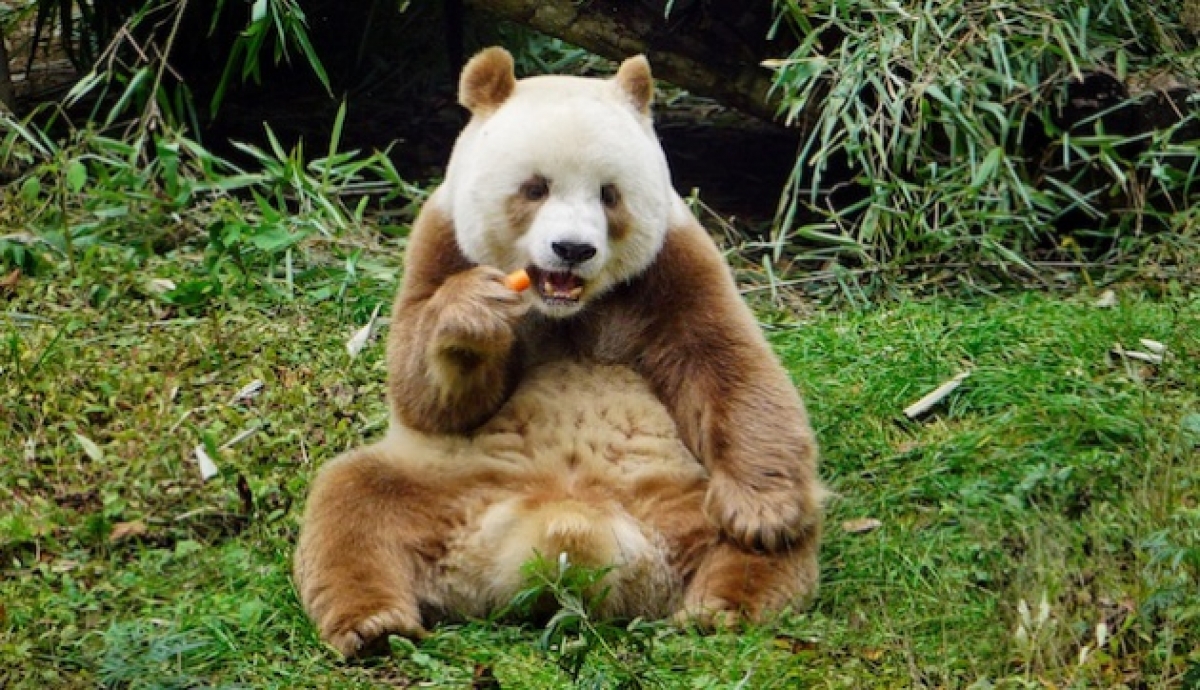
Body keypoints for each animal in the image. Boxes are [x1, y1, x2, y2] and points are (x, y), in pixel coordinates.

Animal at [294, 47, 825, 658]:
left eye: (609, 194)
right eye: (535, 187)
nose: (573, 249)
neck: (565, 308)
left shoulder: (674, 262)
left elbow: (729, 364)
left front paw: (762, 513)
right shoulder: (441, 243)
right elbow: (425, 398)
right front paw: (473, 315)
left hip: (681, 494)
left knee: (779, 532)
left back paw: (724, 607)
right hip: (449, 488)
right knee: (352, 501)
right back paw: (374, 627)